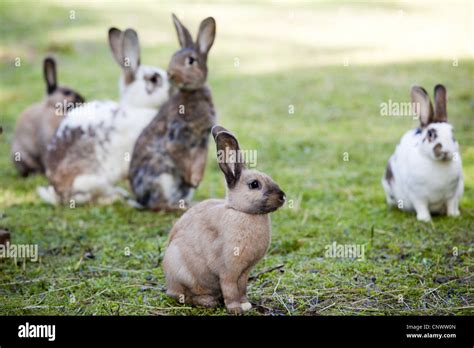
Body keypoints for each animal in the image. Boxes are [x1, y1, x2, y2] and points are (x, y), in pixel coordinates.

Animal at [38, 27, 169, 207]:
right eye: (154, 79)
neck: (137, 107)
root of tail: (57, 193)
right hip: (90, 181)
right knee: (86, 198)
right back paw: (114, 197)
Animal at [128, 13, 217, 211]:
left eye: (191, 60)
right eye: (173, 56)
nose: (171, 74)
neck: (191, 92)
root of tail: (139, 199)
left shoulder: (203, 140)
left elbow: (200, 161)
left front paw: (196, 180)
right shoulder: (175, 137)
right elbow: (178, 155)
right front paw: (192, 179)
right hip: (160, 176)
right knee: (158, 205)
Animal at [163, 125, 286, 316]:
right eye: (254, 184)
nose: (282, 196)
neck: (243, 212)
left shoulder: (244, 272)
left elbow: (241, 288)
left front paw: (245, 304)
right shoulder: (228, 270)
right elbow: (230, 289)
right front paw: (235, 309)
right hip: (181, 271)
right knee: (183, 295)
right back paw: (208, 301)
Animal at [382, 84, 462, 222]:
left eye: (453, 134)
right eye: (430, 134)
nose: (446, 151)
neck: (437, 163)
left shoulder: (453, 194)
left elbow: (451, 205)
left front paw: (454, 215)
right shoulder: (417, 196)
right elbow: (421, 207)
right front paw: (425, 219)